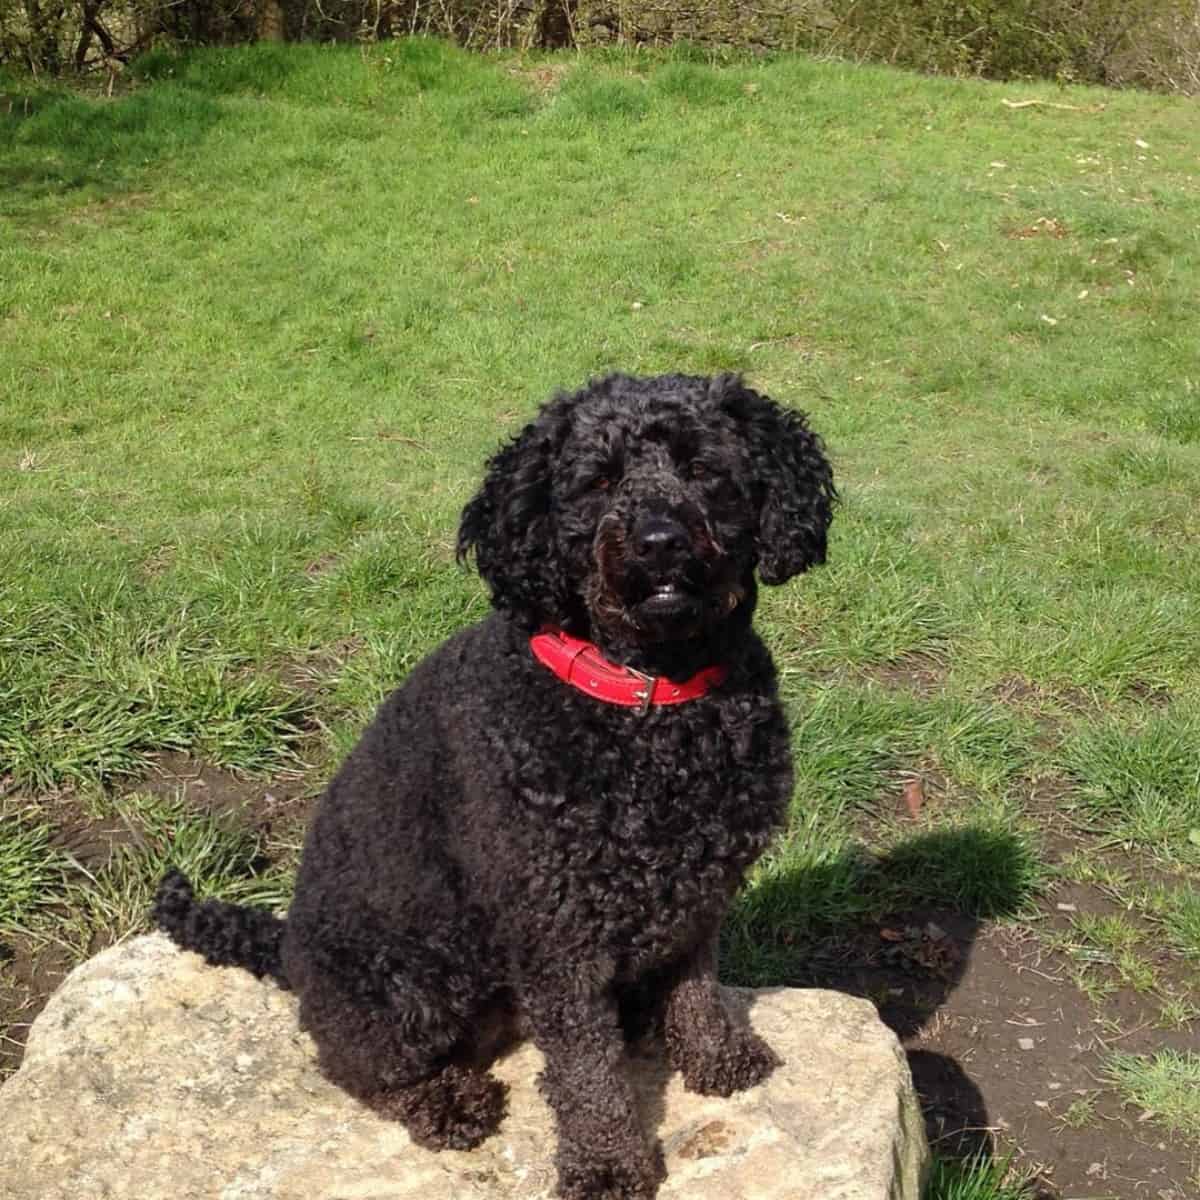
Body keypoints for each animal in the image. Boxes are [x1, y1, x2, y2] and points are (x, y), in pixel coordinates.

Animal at [157, 369, 835, 1195]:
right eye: (597, 481)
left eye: (704, 468)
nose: (659, 541)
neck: (648, 704)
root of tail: (285, 946)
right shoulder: (557, 936)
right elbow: (587, 1073)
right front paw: (607, 1165)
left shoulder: (700, 895)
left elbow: (696, 988)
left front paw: (717, 1057)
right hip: (402, 986)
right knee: (356, 1065)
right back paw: (446, 1101)